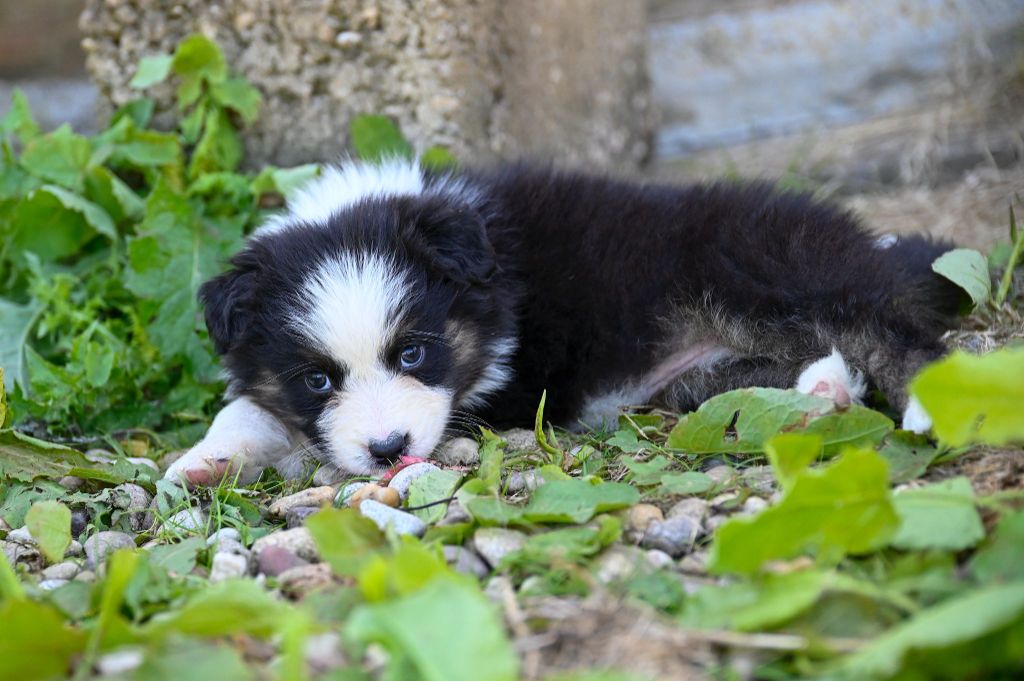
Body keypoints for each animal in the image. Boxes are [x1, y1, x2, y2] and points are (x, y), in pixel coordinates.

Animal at [164, 159, 960, 486]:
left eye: (415, 354)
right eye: (317, 380)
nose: (389, 450)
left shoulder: (507, 386)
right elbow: (249, 405)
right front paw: (206, 459)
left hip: (761, 268)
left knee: (884, 329)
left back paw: (924, 399)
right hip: (702, 376)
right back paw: (820, 398)